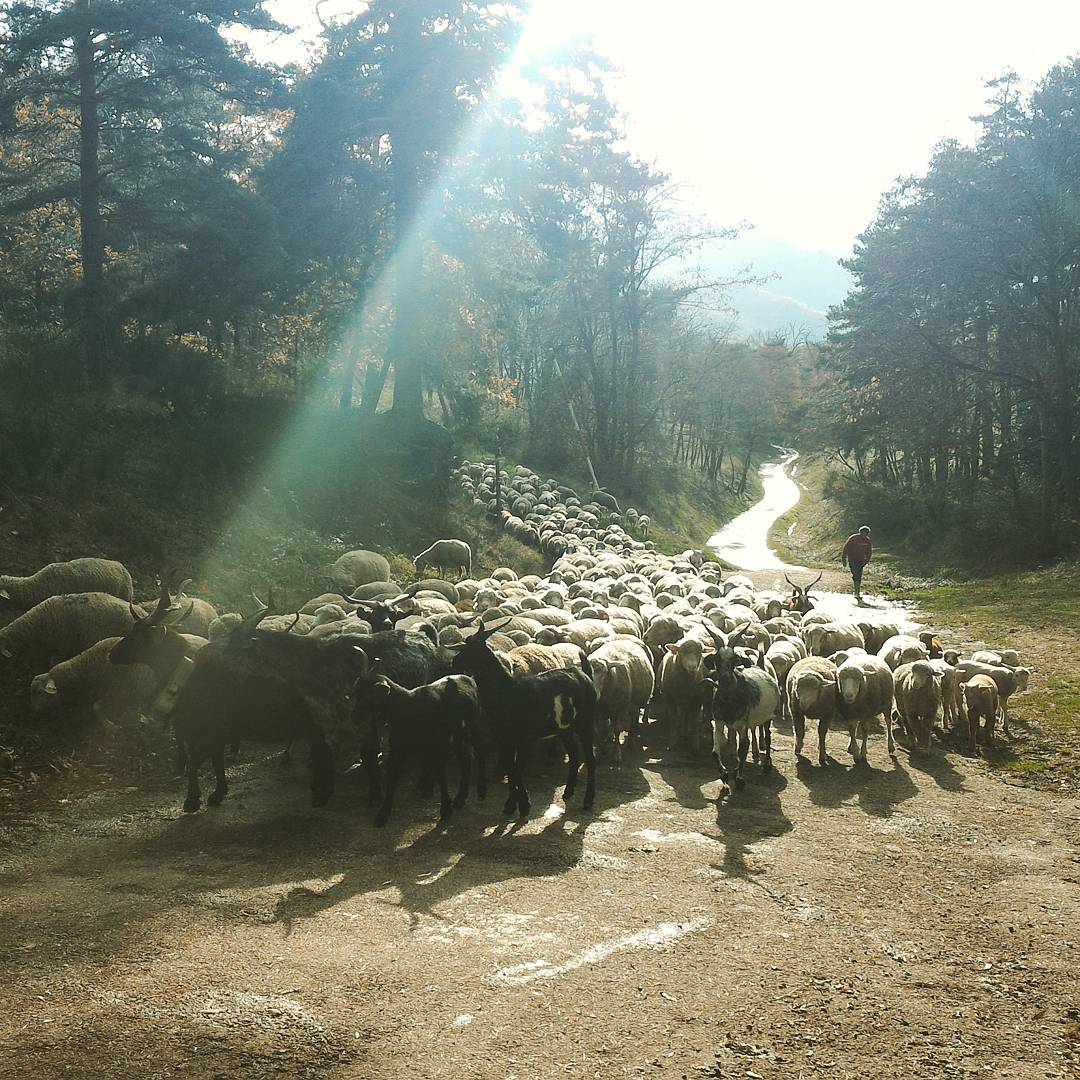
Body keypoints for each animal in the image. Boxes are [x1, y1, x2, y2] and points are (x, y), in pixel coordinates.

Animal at [351, 673, 486, 827]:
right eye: (356, 694)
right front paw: (382, 815)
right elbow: (392, 779)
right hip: (456, 736)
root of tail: (468, 677)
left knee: (481, 752)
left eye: (368, 697)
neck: (408, 707)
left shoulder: (436, 745)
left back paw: (481, 790)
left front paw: (445, 810)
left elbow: (441, 777)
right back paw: (460, 798)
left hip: (475, 723)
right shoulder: (398, 748)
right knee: (466, 758)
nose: (354, 717)